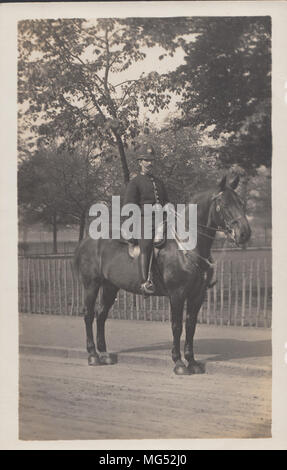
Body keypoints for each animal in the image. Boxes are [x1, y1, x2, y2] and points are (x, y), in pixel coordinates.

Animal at [75, 174, 252, 376]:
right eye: (223, 203)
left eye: (240, 202)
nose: (245, 233)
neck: (186, 245)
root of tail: (86, 240)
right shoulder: (177, 295)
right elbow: (177, 326)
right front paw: (179, 362)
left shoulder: (197, 295)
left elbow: (191, 326)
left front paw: (192, 361)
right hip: (91, 285)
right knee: (89, 314)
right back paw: (93, 355)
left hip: (110, 287)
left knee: (101, 314)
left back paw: (104, 353)